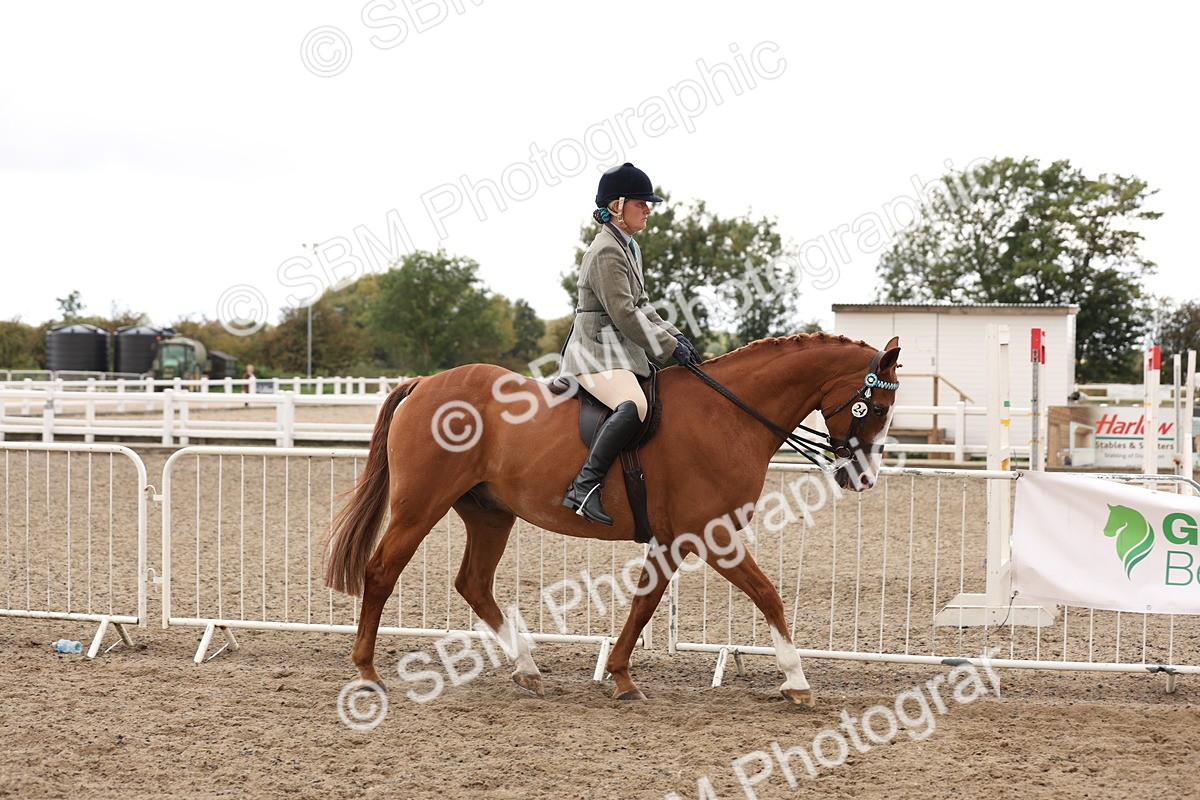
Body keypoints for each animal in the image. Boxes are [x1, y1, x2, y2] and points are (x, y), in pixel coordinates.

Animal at [324, 333, 901, 707]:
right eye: (874, 408)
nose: (864, 478)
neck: (728, 414)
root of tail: (423, 384)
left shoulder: (673, 539)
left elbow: (644, 603)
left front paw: (622, 677)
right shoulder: (712, 535)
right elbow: (767, 595)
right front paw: (797, 680)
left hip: (490, 515)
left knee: (473, 584)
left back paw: (528, 669)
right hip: (420, 506)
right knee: (381, 573)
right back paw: (368, 673)